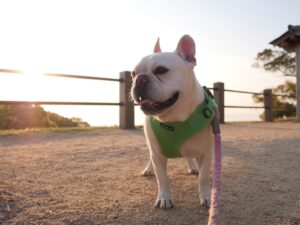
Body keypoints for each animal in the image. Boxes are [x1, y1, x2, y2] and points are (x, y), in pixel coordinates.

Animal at [131, 34, 216, 209]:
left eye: (161, 70)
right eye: (133, 73)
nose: (140, 79)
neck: (174, 119)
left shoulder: (206, 153)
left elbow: (203, 177)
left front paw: (205, 196)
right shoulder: (157, 154)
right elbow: (162, 178)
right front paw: (164, 197)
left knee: (189, 156)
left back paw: (192, 166)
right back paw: (148, 169)